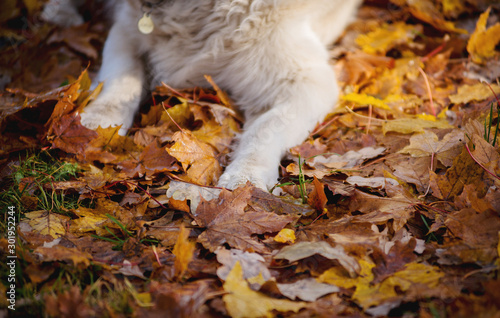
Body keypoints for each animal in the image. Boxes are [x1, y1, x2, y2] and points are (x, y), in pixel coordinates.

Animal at [42, 0, 360, 191]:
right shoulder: (126, 31)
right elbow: (122, 81)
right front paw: (96, 122)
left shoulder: (307, 80)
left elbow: (266, 128)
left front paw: (245, 175)